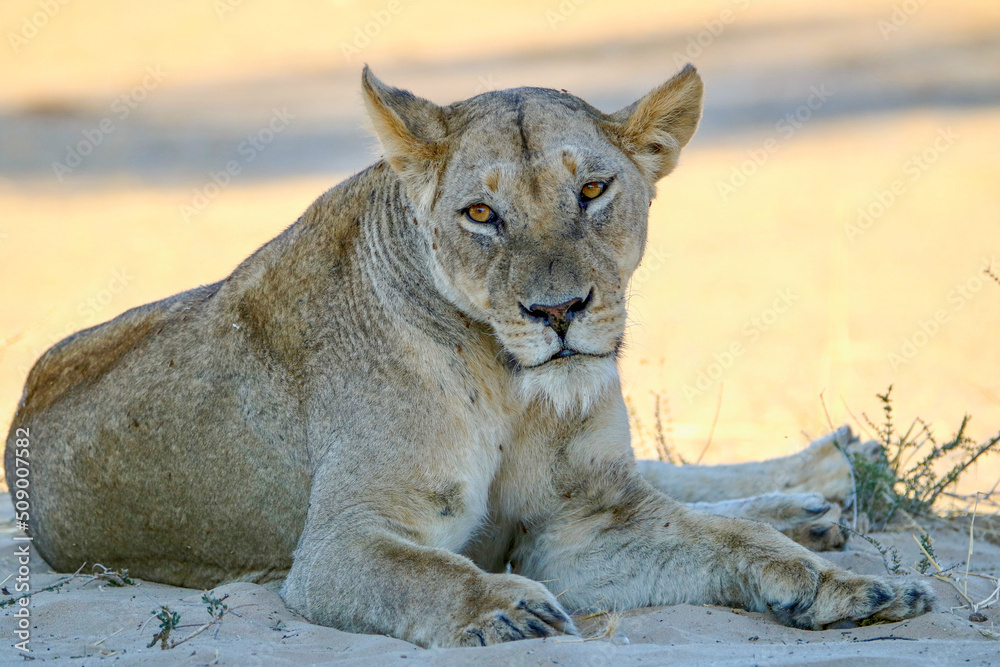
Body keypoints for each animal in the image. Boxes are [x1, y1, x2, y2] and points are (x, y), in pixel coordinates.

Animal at [5, 65, 932, 648]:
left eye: (593, 189)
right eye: (481, 215)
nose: (558, 311)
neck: (512, 384)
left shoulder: (585, 525)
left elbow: (735, 543)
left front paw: (853, 588)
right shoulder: (339, 545)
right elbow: (428, 573)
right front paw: (510, 610)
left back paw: (819, 486)